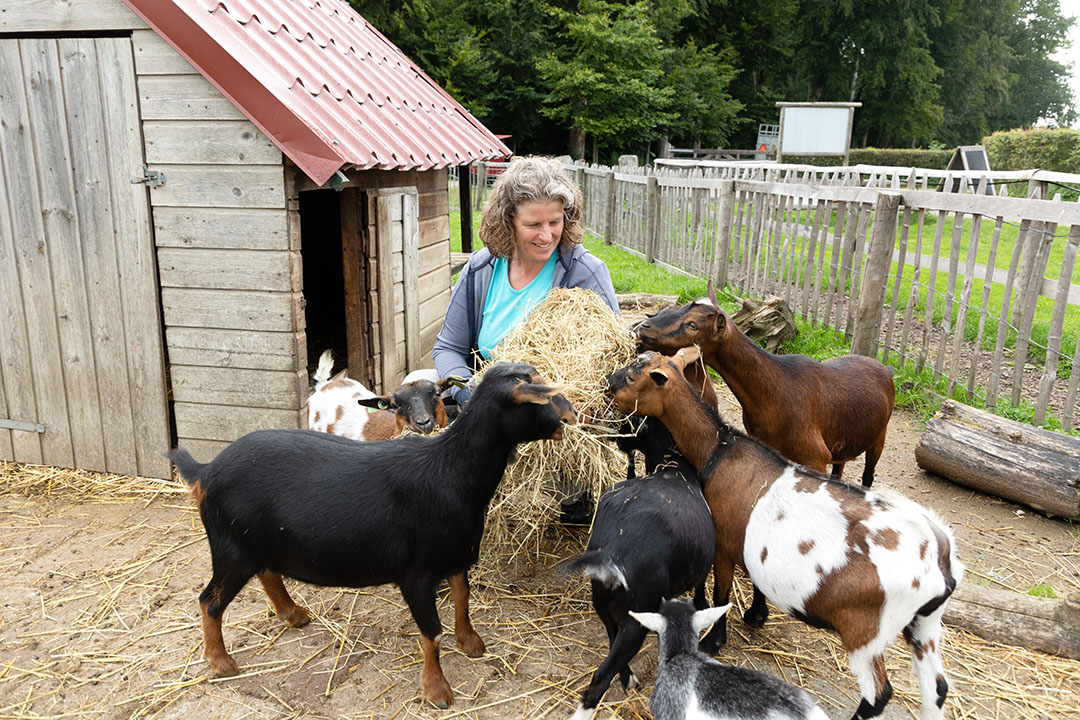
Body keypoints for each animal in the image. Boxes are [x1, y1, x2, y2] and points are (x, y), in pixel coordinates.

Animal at [166, 362, 574, 712]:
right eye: (541, 396)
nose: (570, 417)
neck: (450, 470)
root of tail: (205, 471)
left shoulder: (457, 554)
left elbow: (462, 599)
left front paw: (471, 643)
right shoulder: (416, 574)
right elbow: (432, 632)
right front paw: (437, 691)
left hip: (257, 540)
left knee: (267, 572)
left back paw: (294, 615)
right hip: (230, 547)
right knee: (210, 601)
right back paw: (222, 663)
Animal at [565, 459, 717, 716]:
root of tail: (611, 553)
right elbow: (701, 583)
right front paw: (702, 603)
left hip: (603, 605)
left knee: (612, 638)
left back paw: (628, 679)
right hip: (636, 619)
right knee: (600, 677)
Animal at [635, 287, 889, 490]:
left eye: (692, 325)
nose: (642, 327)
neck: (777, 388)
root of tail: (884, 368)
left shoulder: (815, 458)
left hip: (879, 437)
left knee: (868, 474)